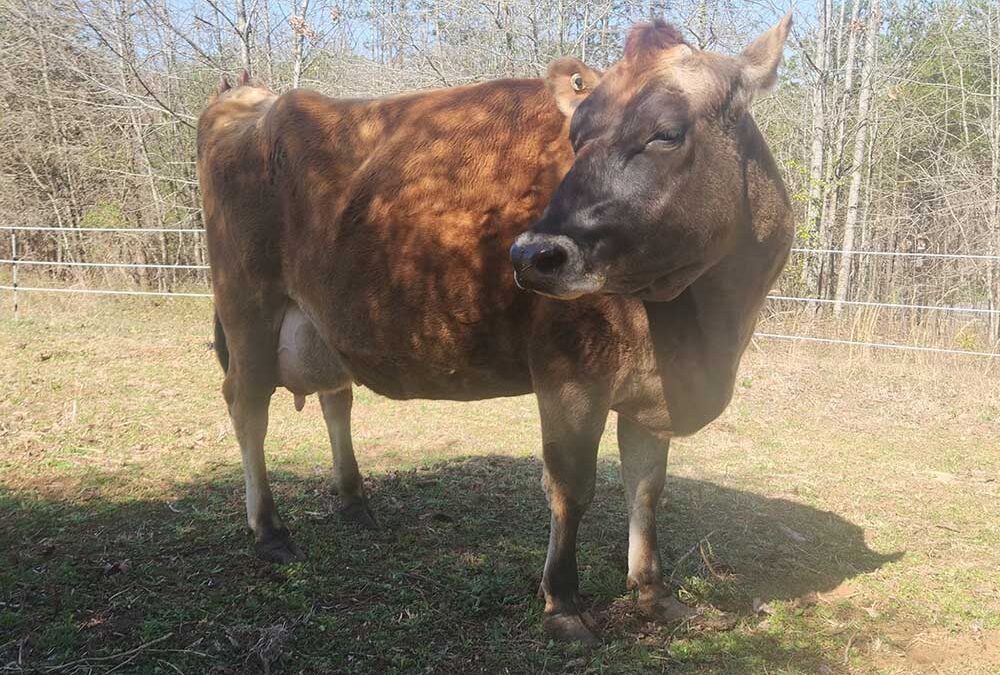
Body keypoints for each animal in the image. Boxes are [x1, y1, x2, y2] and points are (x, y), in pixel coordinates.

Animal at [197, 16, 793, 644]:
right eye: (576, 137)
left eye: (666, 133)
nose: (533, 254)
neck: (700, 330)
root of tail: (248, 96)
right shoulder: (569, 374)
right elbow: (571, 487)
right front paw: (562, 603)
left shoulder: (652, 390)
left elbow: (648, 488)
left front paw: (653, 592)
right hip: (248, 308)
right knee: (247, 405)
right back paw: (269, 530)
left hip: (322, 320)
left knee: (337, 397)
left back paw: (356, 502)